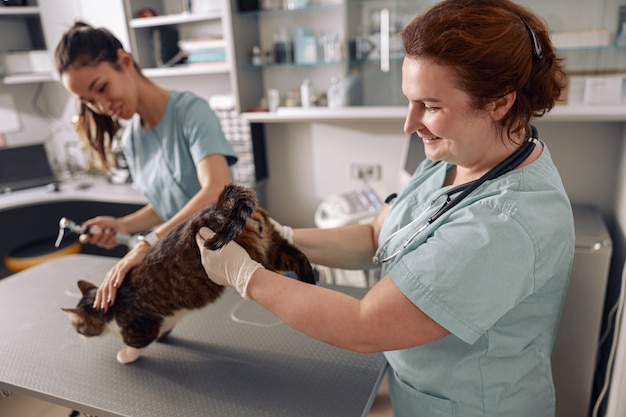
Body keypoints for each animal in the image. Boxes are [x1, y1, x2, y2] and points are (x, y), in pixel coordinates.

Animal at [62, 184, 314, 362]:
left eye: (77, 326)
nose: (77, 334)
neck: (110, 308)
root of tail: (219, 205)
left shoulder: (141, 327)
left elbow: (135, 345)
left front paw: (125, 356)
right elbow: (164, 329)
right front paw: (164, 336)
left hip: (258, 259)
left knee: (270, 278)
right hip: (276, 244)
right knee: (299, 257)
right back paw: (310, 281)